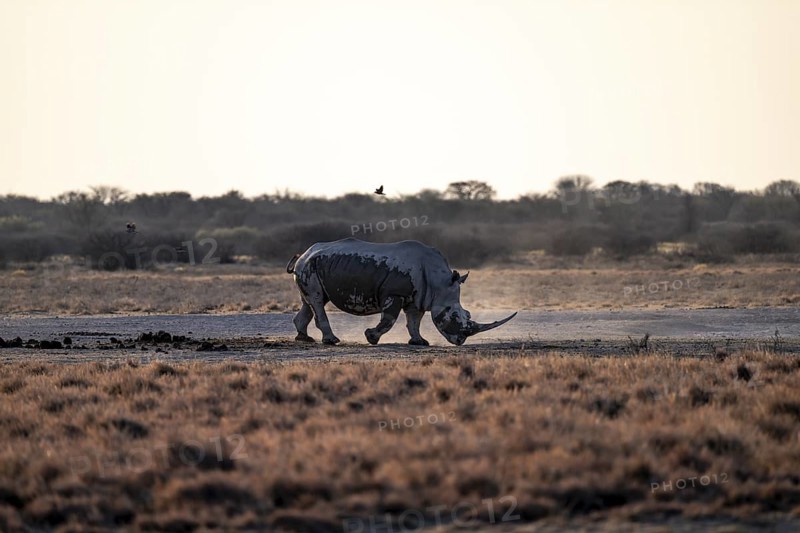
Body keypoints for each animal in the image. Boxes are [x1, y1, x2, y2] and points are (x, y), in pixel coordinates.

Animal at [286, 238, 516, 346]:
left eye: (467, 314)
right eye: (454, 315)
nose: (460, 341)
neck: (439, 282)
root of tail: (304, 253)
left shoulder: (419, 297)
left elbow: (414, 321)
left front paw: (419, 342)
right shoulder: (394, 293)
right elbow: (389, 319)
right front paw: (371, 338)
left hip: (314, 266)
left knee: (311, 301)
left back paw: (304, 339)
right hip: (310, 266)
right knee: (317, 301)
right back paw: (332, 341)